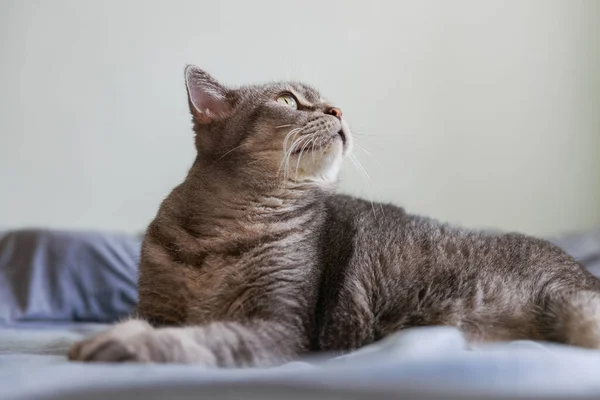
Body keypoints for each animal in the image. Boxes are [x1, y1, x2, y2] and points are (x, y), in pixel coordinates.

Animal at [68, 67, 600, 368]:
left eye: (326, 100)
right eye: (287, 100)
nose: (338, 109)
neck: (220, 233)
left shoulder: (280, 323)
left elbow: (204, 338)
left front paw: (122, 342)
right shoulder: (156, 306)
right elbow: (161, 323)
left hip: (573, 307)